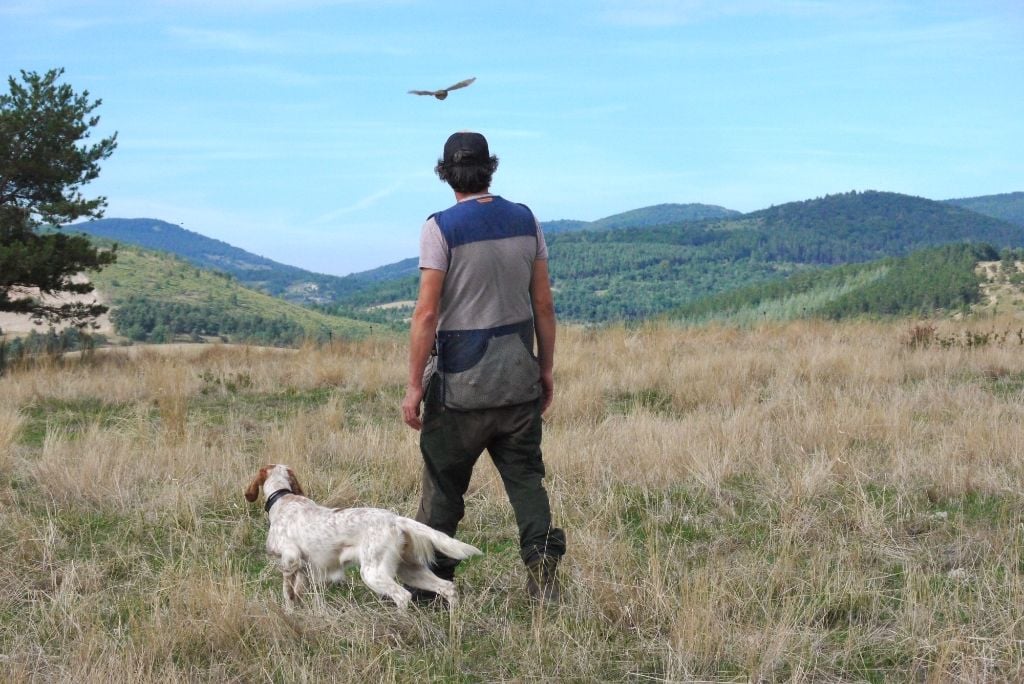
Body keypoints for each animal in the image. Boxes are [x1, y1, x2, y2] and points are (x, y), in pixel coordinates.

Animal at [243, 462, 479, 610]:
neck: (282, 497)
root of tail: (395, 519)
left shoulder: (289, 559)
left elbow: (287, 592)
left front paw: (288, 610)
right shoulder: (302, 567)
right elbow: (298, 592)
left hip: (373, 572)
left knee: (402, 596)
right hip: (409, 569)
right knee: (447, 587)